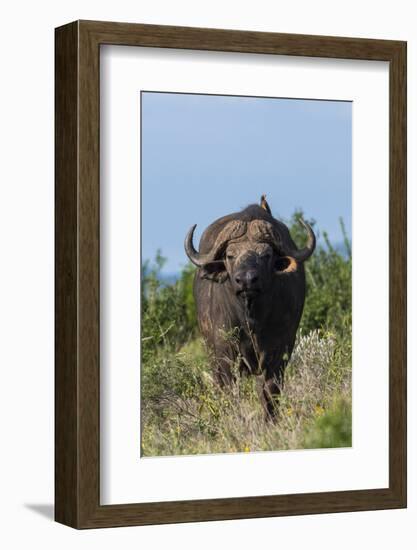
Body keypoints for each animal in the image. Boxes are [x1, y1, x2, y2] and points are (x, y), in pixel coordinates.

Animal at [184, 197, 314, 418]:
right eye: (230, 255)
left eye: (266, 255)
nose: (246, 280)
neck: (251, 318)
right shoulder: (225, 353)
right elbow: (229, 389)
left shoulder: (278, 350)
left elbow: (270, 391)